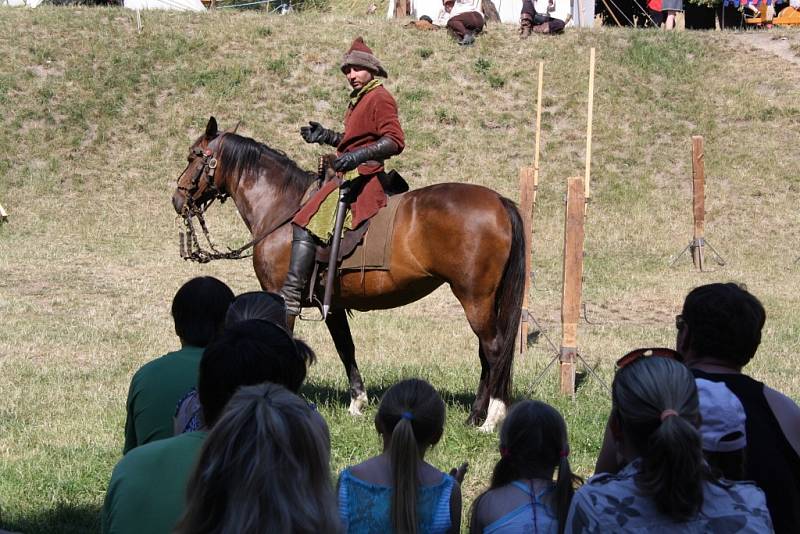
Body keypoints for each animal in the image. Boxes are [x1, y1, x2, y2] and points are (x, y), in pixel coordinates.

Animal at [173, 117, 524, 432]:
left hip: (474, 297)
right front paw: (357, 401)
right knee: (486, 353)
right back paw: (475, 416)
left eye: (193, 156)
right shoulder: (333, 306)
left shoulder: (282, 296)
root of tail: (499, 201)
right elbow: (346, 347)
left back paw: (490, 419)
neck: (284, 208)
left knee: (494, 349)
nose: (177, 199)